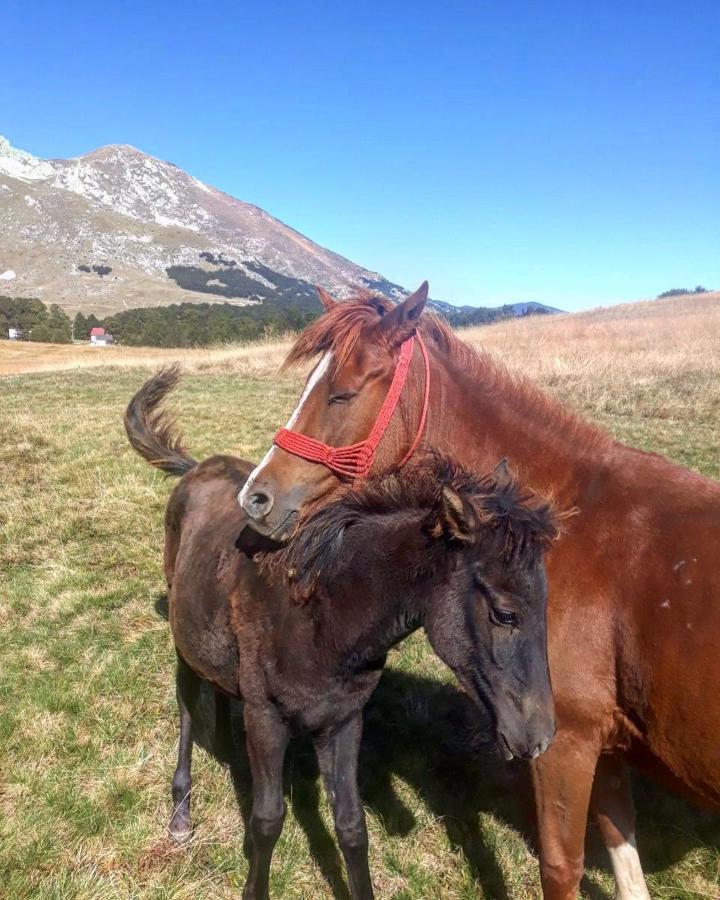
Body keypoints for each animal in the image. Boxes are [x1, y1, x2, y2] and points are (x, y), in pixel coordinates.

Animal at [240, 284, 720, 896]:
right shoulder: (607, 747)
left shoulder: (565, 742)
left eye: (342, 393)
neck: (569, 525)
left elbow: (560, 868)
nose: (255, 498)